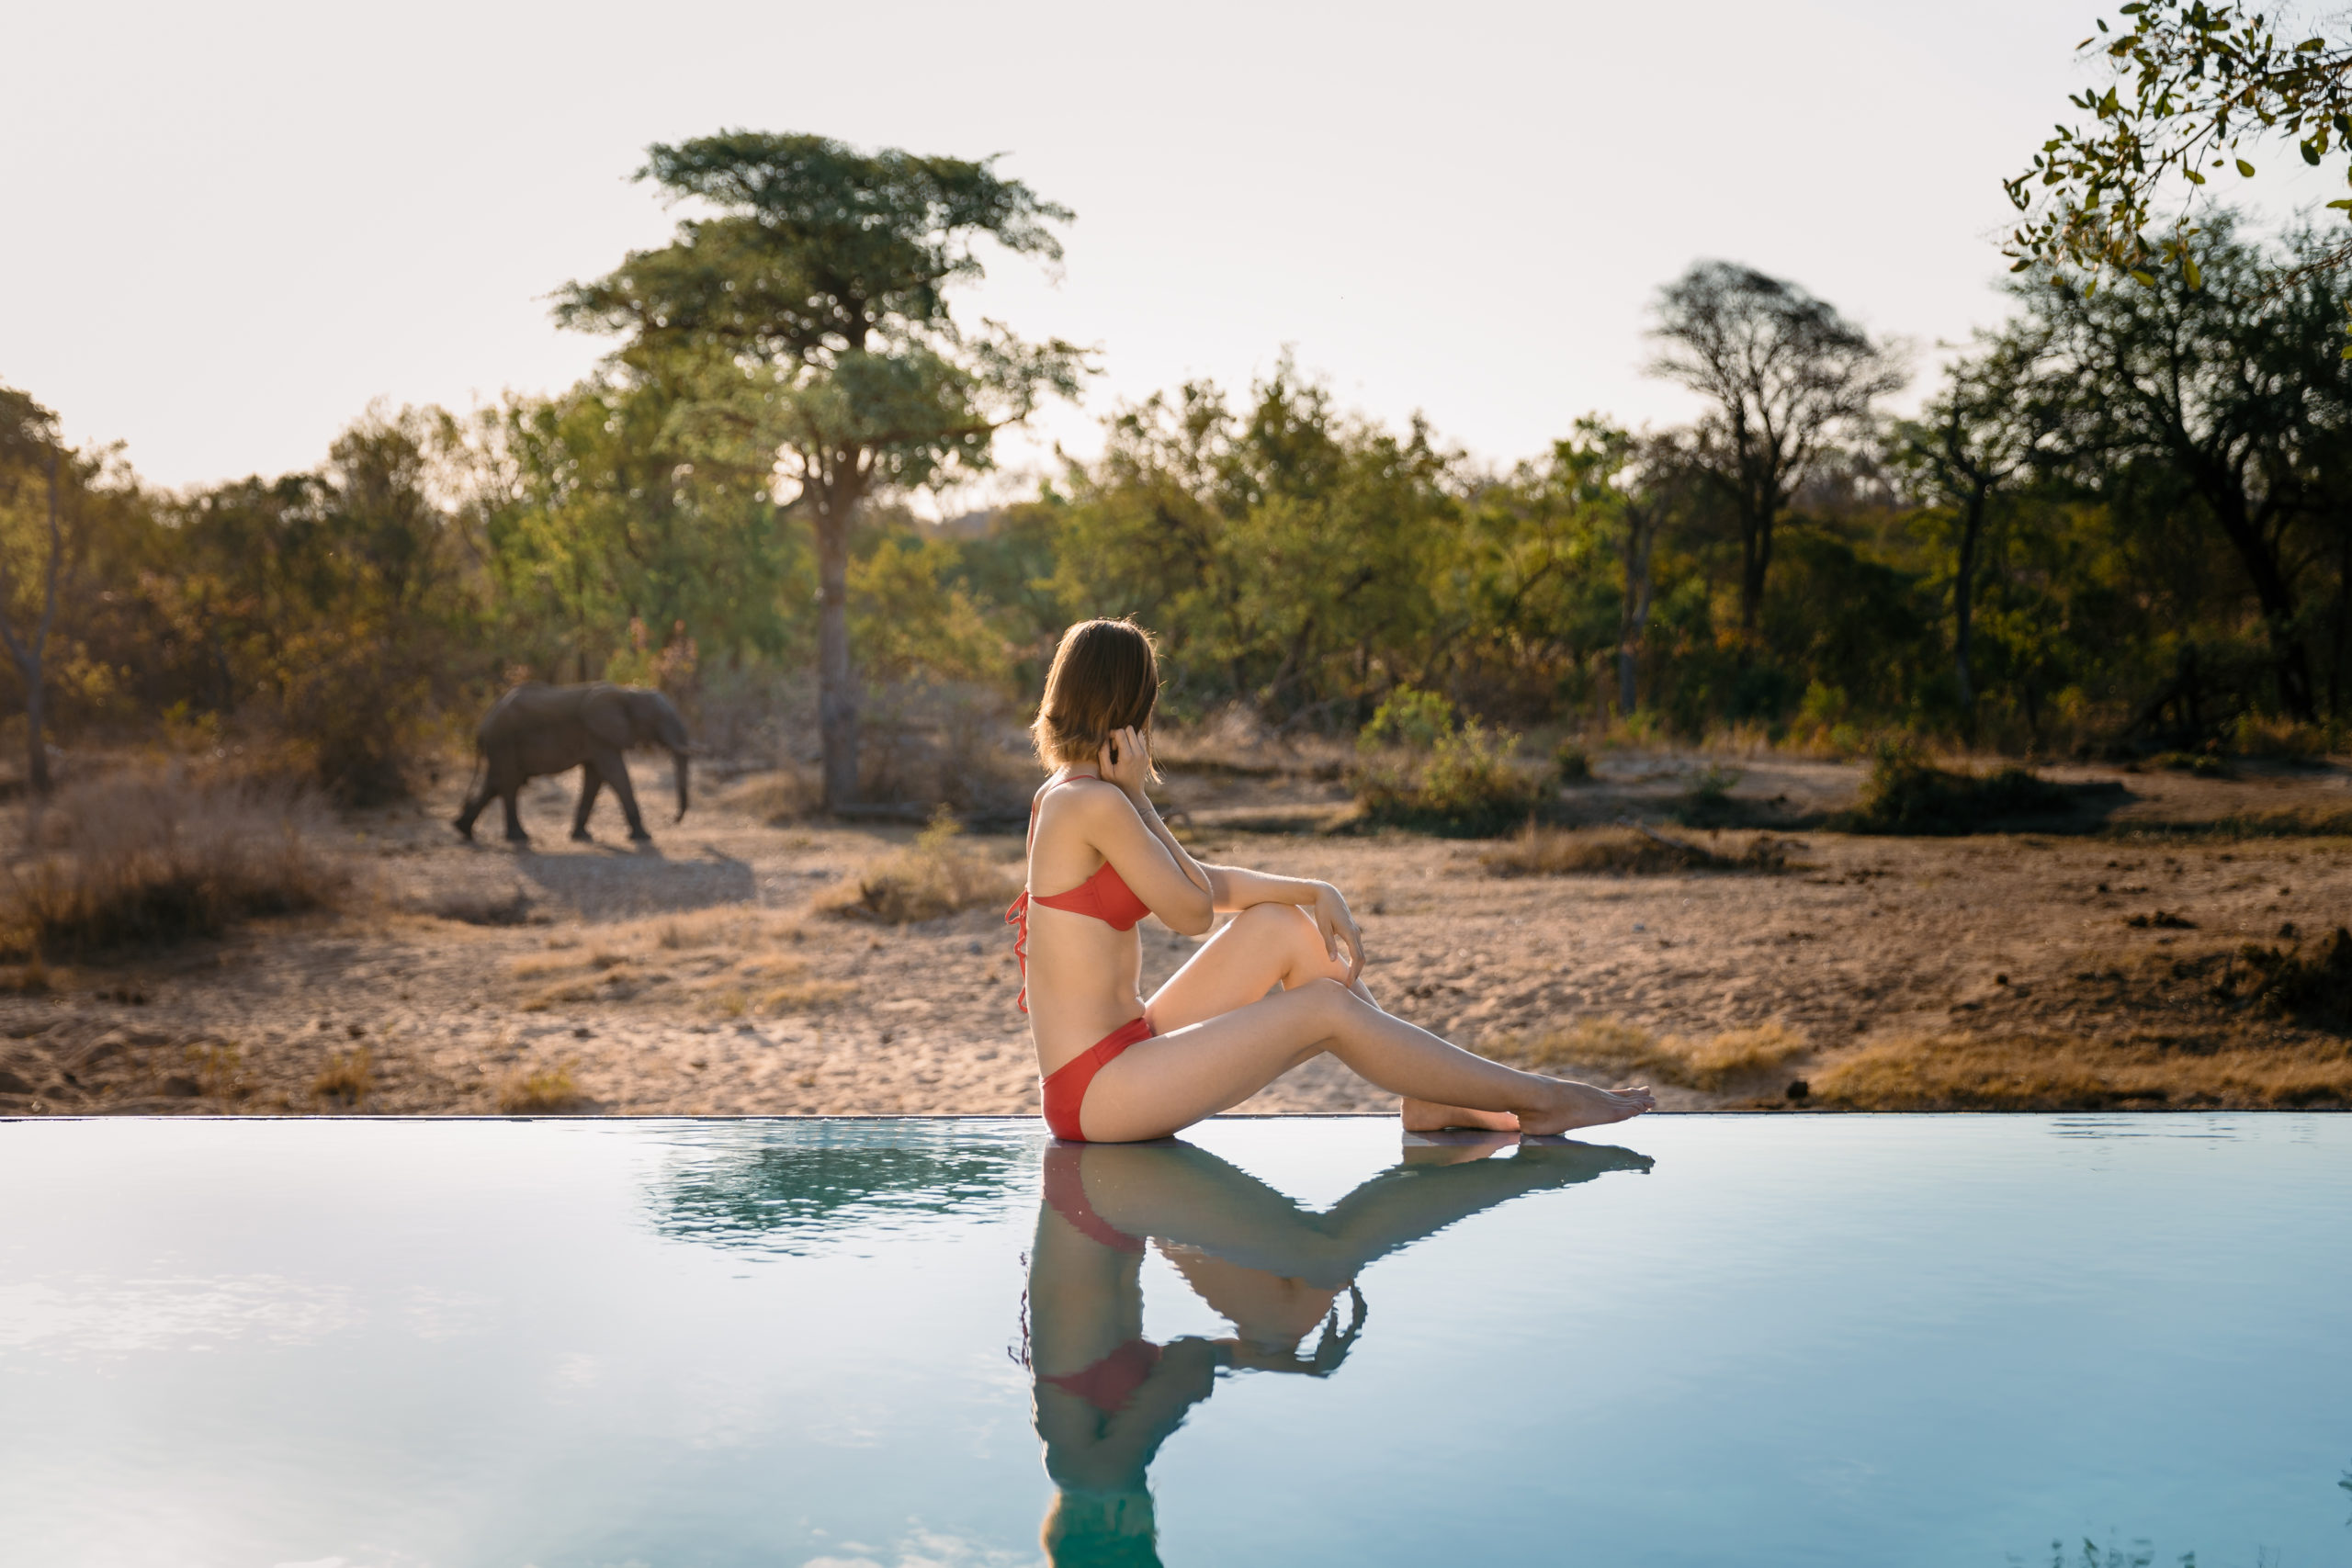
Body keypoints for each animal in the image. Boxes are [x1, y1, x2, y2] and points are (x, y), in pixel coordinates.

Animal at [451, 677, 686, 841]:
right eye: (658, 719)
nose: (672, 819)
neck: (628, 693)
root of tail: (482, 727)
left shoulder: (597, 738)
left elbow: (595, 778)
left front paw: (582, 836)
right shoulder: (598, 735)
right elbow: (615, 775)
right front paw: (644, 837)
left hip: (501, 747)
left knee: (496, 783)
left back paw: (463, 830)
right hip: (503, 741)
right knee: (508, 783)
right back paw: (519, 836)